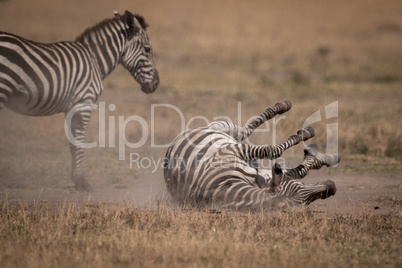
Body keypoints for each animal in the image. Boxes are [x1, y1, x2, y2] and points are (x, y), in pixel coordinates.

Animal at [0, 10, 160, 191]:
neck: (94, 60)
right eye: (147, 49)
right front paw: (82, 181)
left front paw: (77, 179)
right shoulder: (84, 102)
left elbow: (72, 143)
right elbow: (80, 142)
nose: (156, 84)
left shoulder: (72, 107)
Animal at [163, 100, 340, 211]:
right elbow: (274, 151)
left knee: (244, 130)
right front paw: (309, 143)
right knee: (245, 131)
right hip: (225, 134)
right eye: (302, 198)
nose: (332, 187)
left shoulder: (259, 170)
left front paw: (317, 156)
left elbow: (299, 170)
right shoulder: (234, 151)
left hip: (223, 129)